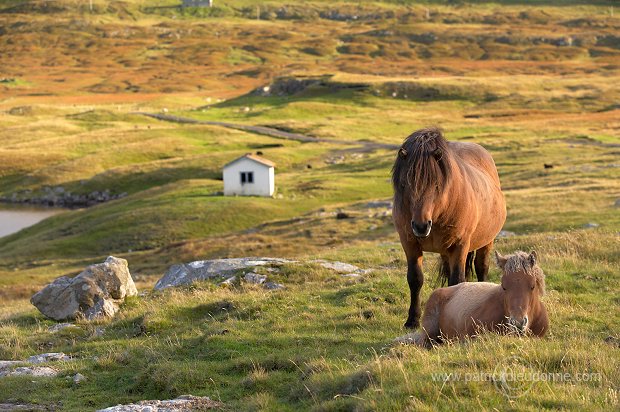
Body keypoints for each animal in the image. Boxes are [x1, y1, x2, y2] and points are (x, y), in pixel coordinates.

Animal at [394, 127, 506, 326]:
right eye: (405, 185)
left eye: (437, 185)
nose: (421, 226)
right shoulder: (410, 244)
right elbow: (415, 279)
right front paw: (412, 320)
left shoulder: (459, 246)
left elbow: (457, 280)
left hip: (486, 241)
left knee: (481, 268)